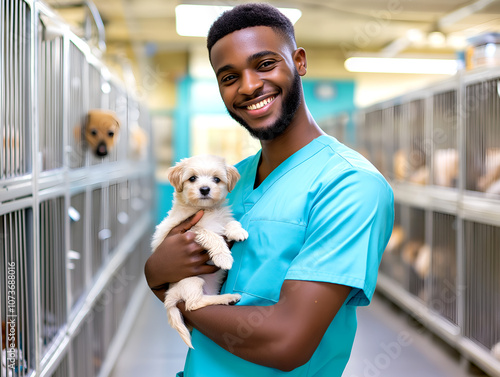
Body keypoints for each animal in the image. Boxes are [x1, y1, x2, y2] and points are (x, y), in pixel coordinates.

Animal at [150, 154, 248, 348]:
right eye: (192, 178)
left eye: (216, 179)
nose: (204, 189)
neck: (207, 210)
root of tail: (170, 296)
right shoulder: (191, 230)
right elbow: (211, 234)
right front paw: (224, 258)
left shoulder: (222, 219)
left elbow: (231, 222)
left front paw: (238, 231)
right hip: (192, 280)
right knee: (193, 304)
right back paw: (227, 297)